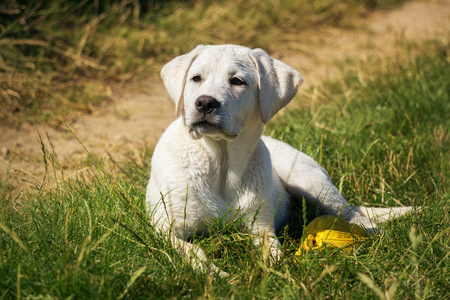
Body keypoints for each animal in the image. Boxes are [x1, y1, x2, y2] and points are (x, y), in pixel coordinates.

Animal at [146, 43, 414, 276]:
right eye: (196, 78)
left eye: (237, 81)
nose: (204, 103)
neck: (221, 164)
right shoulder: (167, 228)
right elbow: (191, 250)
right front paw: (215, 273)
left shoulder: (261, 227)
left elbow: (273, 253)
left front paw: (276, 273)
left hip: (310, 183)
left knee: (354, 216)